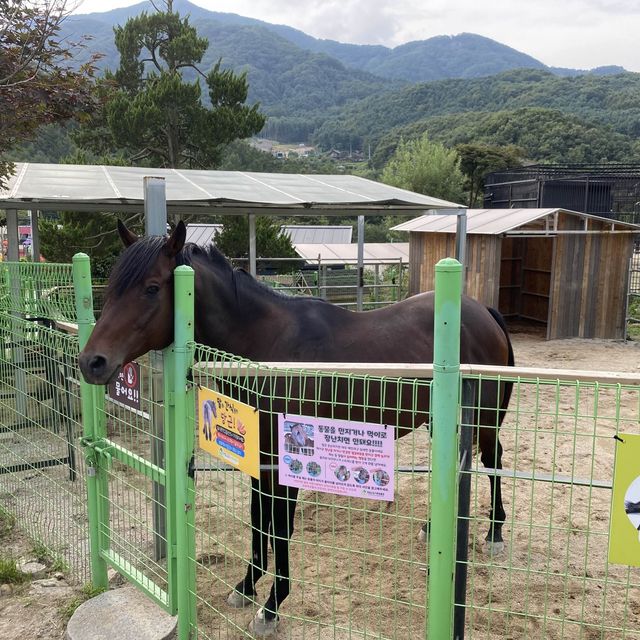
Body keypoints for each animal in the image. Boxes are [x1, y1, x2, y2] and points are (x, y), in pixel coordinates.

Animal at [77, 220, 516, 636]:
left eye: (152, 288)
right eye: (112, 287)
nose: (92, 362)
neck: (267, 349)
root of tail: (482, 311)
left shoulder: (286, 460)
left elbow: (281, 527)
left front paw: (272, 606)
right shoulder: (259, 455)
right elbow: (258, 518)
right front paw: (246, 586)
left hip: (486, 417)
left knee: (492, 459)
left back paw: (495, 534)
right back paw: (434, 528)